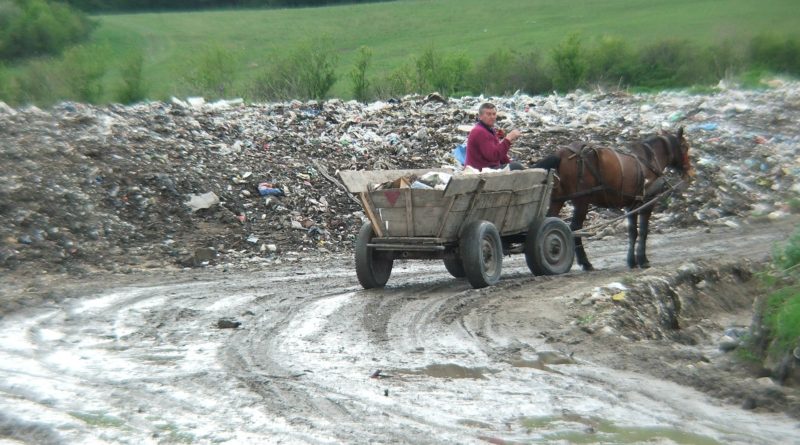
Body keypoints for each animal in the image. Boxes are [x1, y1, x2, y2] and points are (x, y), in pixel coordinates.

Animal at [536, 126, 696, 268]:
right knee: (574, 228)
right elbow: (643, 231)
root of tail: (561, 154)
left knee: (549, 221)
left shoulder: (632, 204)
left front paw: (632, 261)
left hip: (558, 199)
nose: (690, 172)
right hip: (582, 201)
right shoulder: (648, 202)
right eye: (685, 146)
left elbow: (633, 232)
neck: (650, 159)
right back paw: (585, 263)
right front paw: (643, 260)